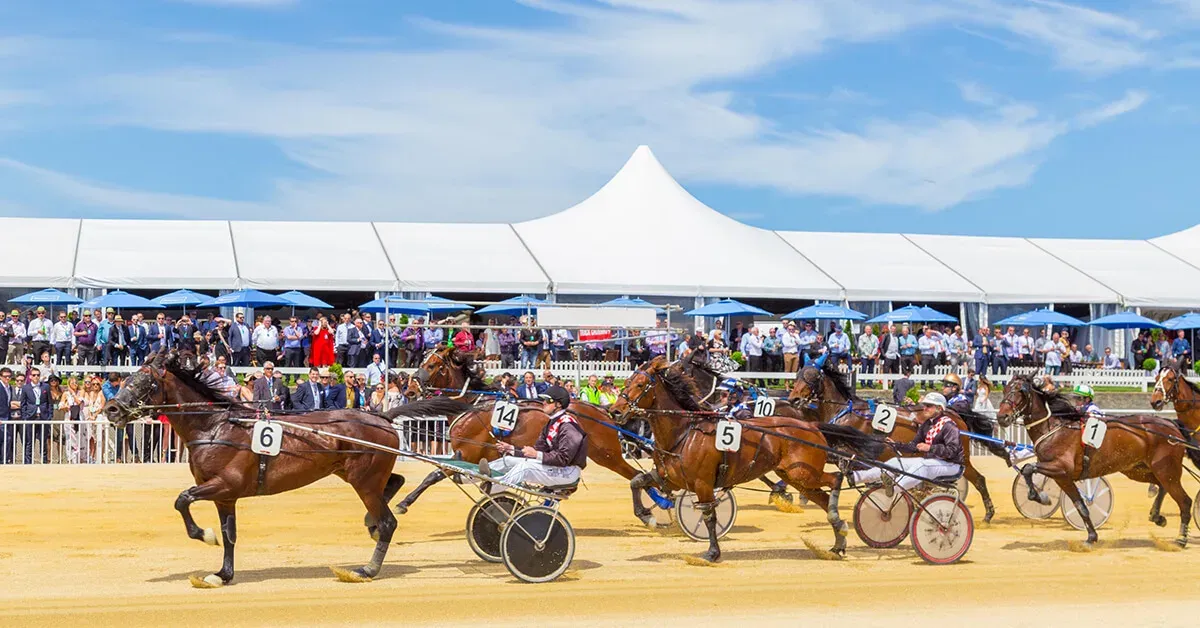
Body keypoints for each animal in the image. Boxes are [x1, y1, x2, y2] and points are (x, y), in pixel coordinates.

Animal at [102, 350, 472, 588]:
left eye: (144, 383)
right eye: (128, 379)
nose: (111, 409)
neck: (216, 426)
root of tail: (380, 415)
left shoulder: (225, 483)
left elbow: (182, 500)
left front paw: (203, 535)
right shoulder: (225, 496)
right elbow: (229, 534)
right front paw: (222, 574)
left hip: (363, 479)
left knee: (388, 521)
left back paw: (366, 569)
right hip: (355, 473)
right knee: (393, 484)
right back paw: (372, 522)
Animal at [391, 343, 657, 525]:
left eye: (431, 366)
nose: (410, 390)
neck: (471, 406)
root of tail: (602, 410)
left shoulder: (467, 452)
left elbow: (434, 474)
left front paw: (403, 503)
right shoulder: (476, 456)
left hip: (607, 453)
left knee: (636, 475)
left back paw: (649, 509)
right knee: (638, 476)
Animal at [609, 355, 844, 561]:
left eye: (640, 385)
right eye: (627, 383)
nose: (615, 411)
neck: (684, 432)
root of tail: (812, 426)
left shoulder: (702, 483)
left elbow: (709, 516)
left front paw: (712, 552)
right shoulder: (668, 477)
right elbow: (636, 481)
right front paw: (646, 515)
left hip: (803, 473)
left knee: (836, 478)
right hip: (795, 477)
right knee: (822, 498)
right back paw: (837, 542)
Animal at [782, 360, 998, 523]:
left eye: (812, 377)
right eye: (797, 375)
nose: (793, 400)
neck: (845, 411)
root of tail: (955, 413)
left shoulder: (855, 451)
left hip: (961, 459)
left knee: (978, 479)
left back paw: (988, 514)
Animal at [993, 377, 1190, 547]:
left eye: (1021, 391)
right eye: (1005, 389)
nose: (1002, 417)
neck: (1055, 428)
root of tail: (1172, 426)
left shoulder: (1060, 468)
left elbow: (1027, 468)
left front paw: (1040, 496)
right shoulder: (1062, 477)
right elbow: (1081, 506)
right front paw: (1091, 537)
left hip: (1166, 470)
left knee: (1184, 501)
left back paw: (1181, 539)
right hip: (1140, 470)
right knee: (1162, 487)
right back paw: (1157, 516)